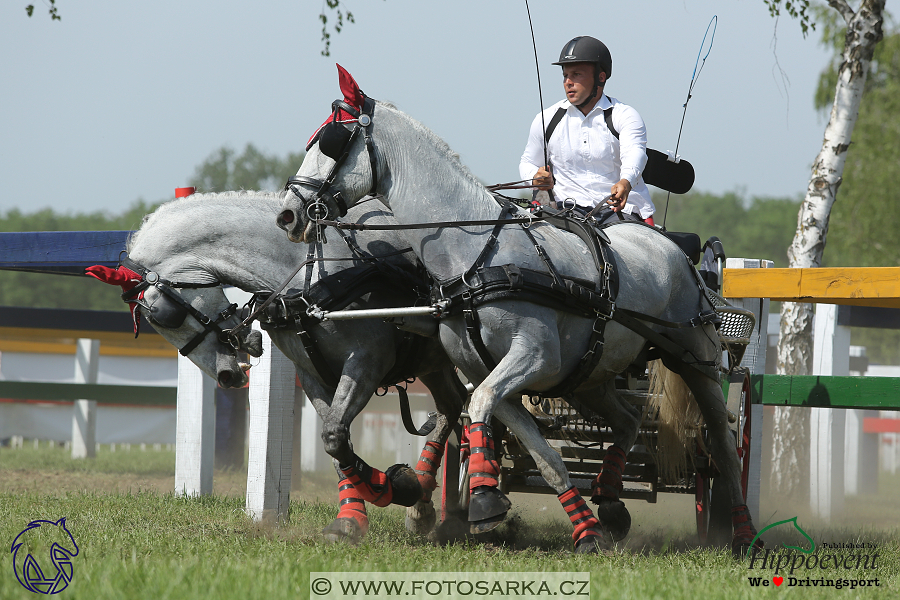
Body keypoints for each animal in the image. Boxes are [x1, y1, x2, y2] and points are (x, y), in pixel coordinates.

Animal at [100, 192, 464, 544]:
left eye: (163, 315)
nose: (226, 377)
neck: (312, 275)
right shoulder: (312, 375)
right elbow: (336, 442)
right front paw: (353, 517)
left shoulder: (367, 361)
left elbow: (334, 434)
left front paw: (394, 487)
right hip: (435, 365)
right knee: (453, 408)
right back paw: (433, 509)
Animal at [278, 71, 764, 556]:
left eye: (332, 142)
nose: (288, 214)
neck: (477, 253)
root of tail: (672, 249)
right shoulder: (488, 369)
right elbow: (535, 448)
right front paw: (582, 530)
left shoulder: (534, 357)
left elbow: (479, 405)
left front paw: (484, 499)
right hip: (593, 375)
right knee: (626, 419)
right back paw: (609, 502)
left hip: (695, 362)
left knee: (722, 445)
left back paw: (743, 533)